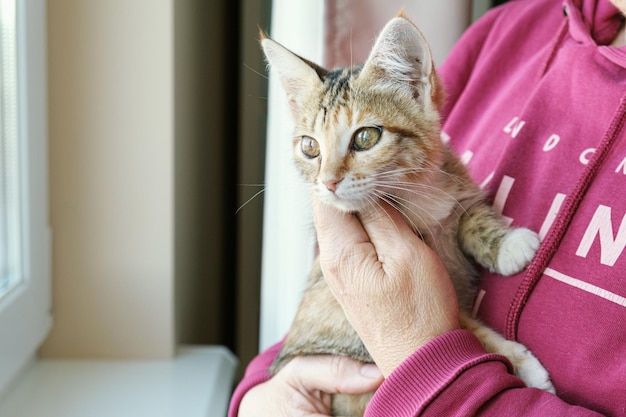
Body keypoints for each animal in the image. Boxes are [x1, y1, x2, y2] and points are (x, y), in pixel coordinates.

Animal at [260, 11, 552, 414]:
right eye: (310, 147)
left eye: (365, 137)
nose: (328, 182)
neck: (414, 191)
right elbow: (463, 326)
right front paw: (524, 364)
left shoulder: (451, 184)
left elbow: (468, 214)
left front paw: (508, 245)